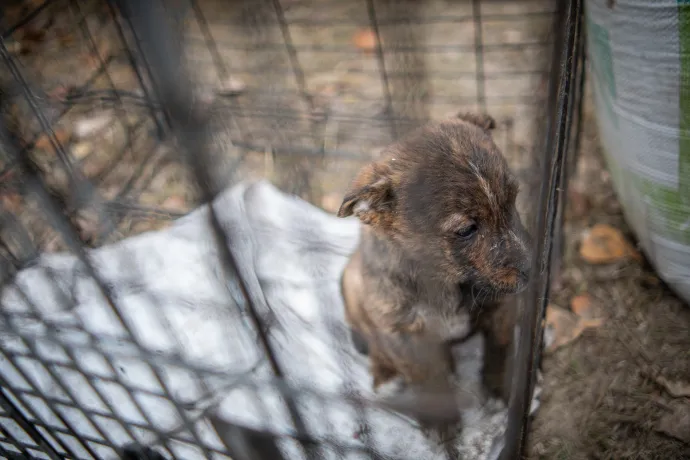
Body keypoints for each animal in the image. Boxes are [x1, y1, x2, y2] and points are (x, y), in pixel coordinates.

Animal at [336, 112, 528, 402]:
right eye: (466, 230)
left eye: (513, 201)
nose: (532, 269)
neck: (441, 280)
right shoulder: (407, 338)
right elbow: (432, 385)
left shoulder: (502, 307)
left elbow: (500, 350)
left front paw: (499, 393)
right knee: (374, 343)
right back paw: (385, 376)